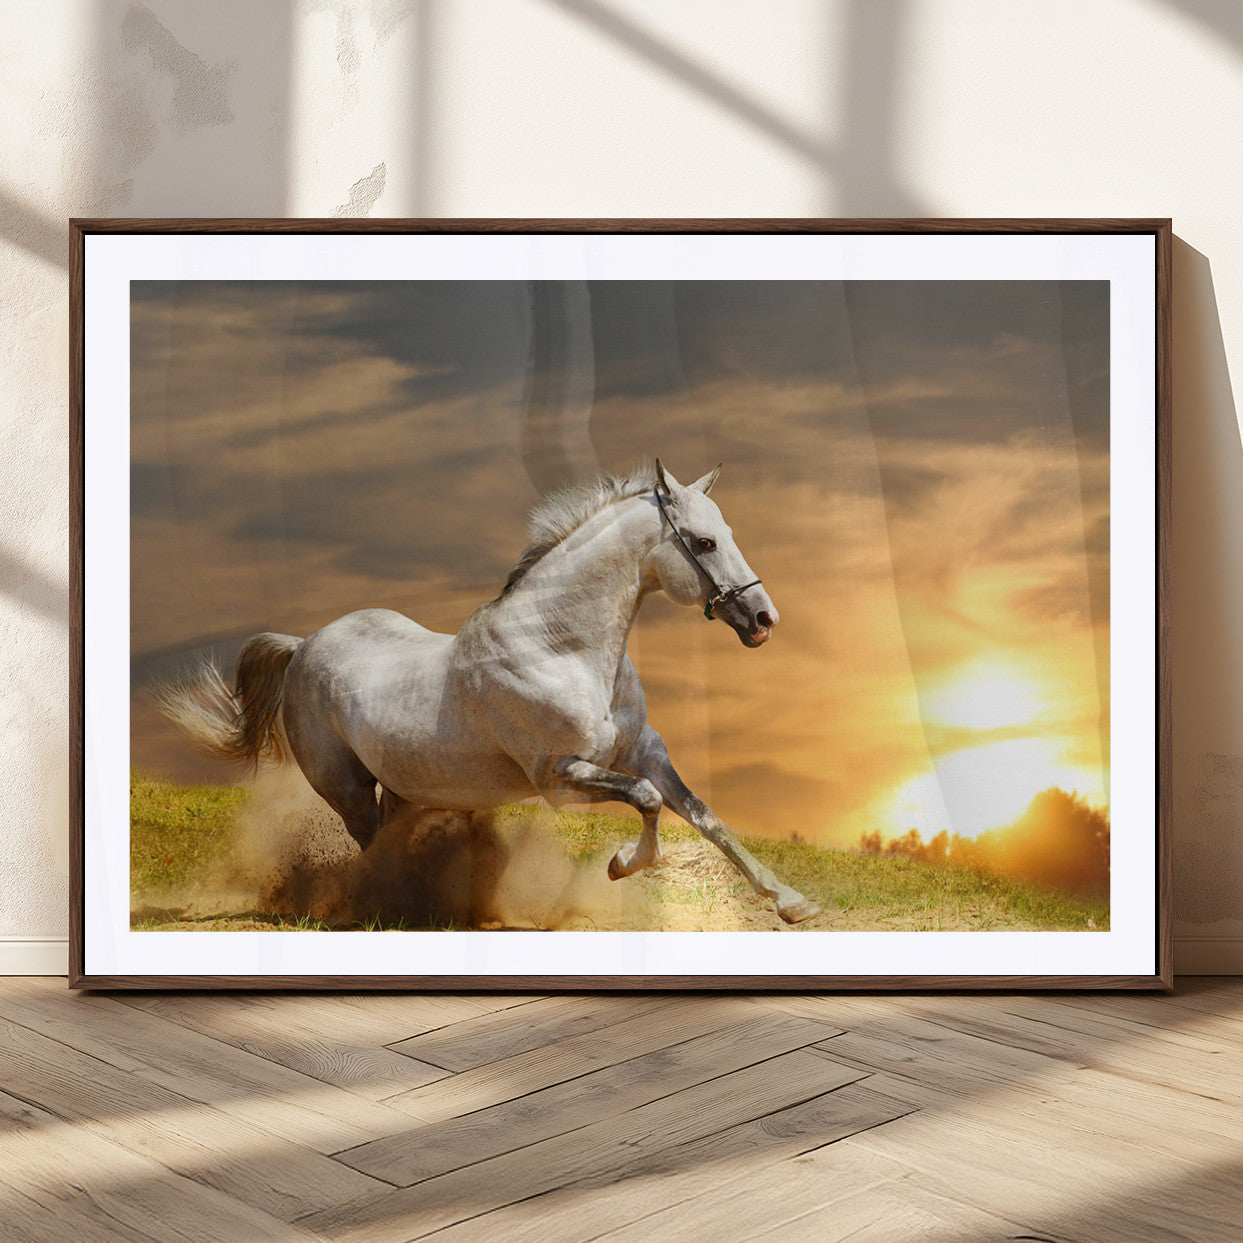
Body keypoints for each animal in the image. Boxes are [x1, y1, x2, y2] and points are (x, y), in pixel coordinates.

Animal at [160, 460, 821, 924]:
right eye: (704, 542)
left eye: (727, 531)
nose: (764, 619)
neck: (561, 648)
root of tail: (302, 646)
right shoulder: (560, 776)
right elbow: (648, 801)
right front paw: (619, 866)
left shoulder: (644, 752)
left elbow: (704, 816)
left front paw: (792, 902)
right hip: (345, 788)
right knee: (371, 844)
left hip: (407, 786)